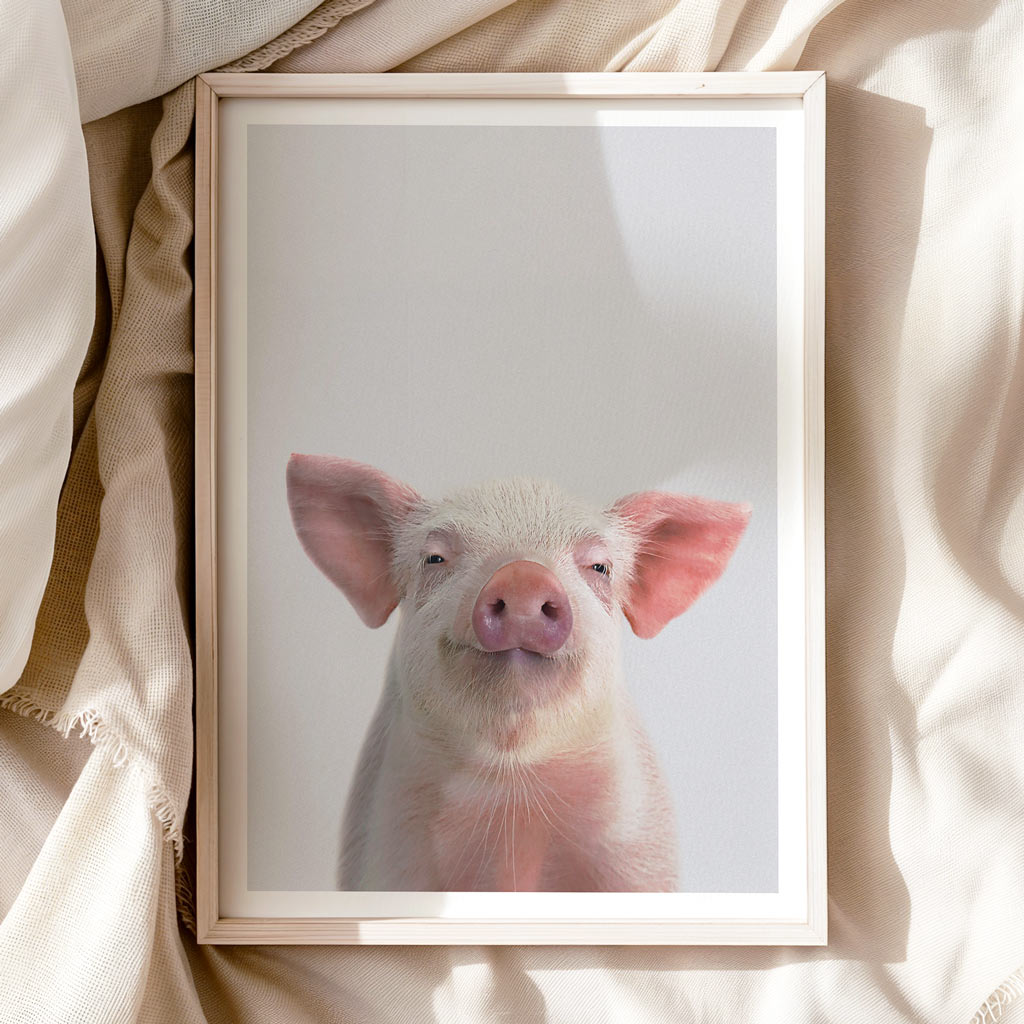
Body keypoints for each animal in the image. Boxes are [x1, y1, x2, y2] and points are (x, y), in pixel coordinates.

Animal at [286, 455, 751, 893]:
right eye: (434, 557)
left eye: (600, 567)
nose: (522, 576)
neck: (512, 795)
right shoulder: (383, 848)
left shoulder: (638, 851)